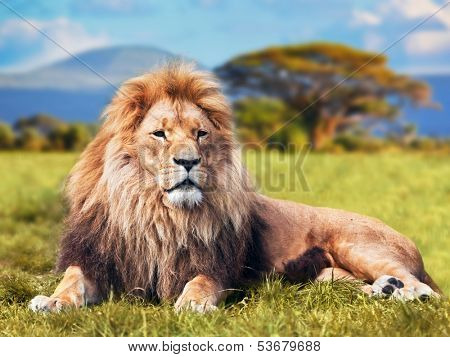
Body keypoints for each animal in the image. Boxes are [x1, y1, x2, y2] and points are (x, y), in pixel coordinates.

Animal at [29, 63, 442, 312]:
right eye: (160, 134)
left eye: (200, 134)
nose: (188, 161)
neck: (156, 213)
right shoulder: (96, 258)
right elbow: (72, 281)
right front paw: (51, 302)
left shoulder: (214, 266)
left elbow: (199, 283)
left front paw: (192, 305)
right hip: (326, 276)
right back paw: (384, 290)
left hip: (357, 244)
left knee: (424, 287)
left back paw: (405, 292)